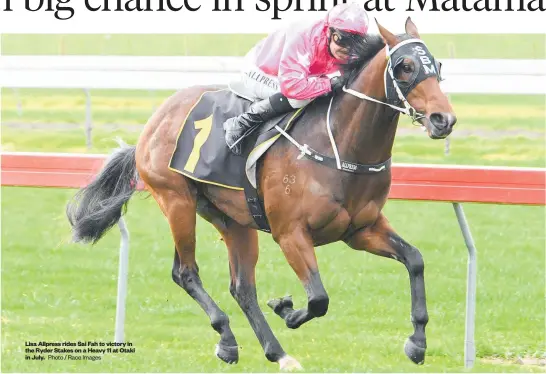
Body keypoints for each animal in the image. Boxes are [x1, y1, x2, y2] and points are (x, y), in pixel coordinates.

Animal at [65, 18, 454, 372]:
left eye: (437, 66)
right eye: (405, 67)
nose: (443, 120)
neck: (340, 144)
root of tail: (152, 123)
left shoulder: (360, 230)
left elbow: (415, 259)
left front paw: (417, 342)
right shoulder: (290, 233)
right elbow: (318, 299)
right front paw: (287, 309)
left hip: (233, 220)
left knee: (242, 288)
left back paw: (275, 352)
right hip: (176, 201)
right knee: (186, 273)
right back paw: (227, 338)